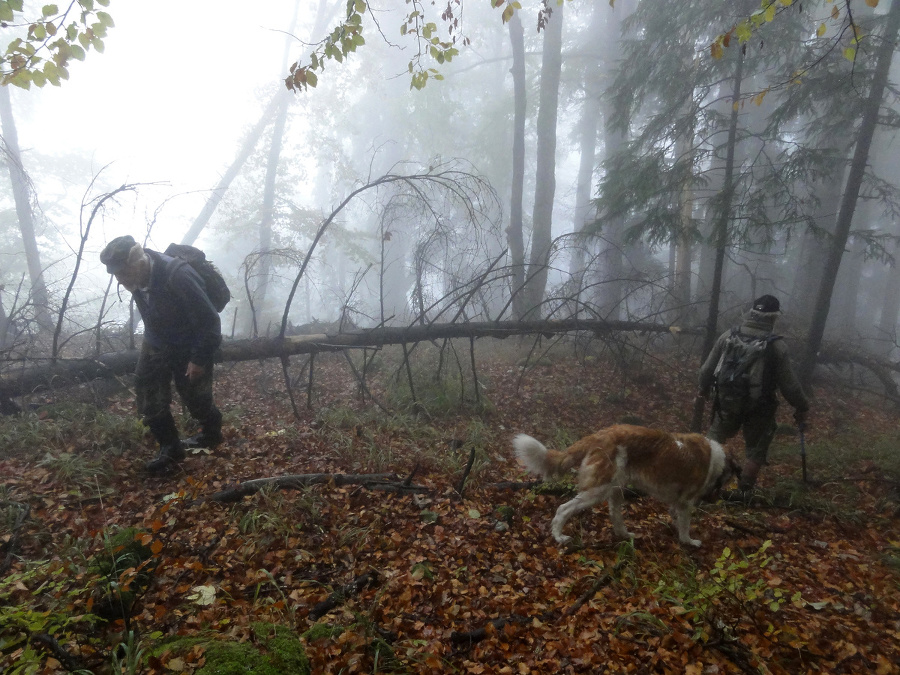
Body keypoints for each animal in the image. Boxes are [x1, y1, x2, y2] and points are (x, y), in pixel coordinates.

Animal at [512, 428, 740, 548]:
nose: (715, 497)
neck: (716, 460)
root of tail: (601, 434)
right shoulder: (685, 503)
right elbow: (685, 525)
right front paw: (688, 541)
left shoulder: (677, 503)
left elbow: (677, 519)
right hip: (599, 489)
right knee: (563, 509)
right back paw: (558, 536)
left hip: (615, 489)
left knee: (615, 516)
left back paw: (624, 535)